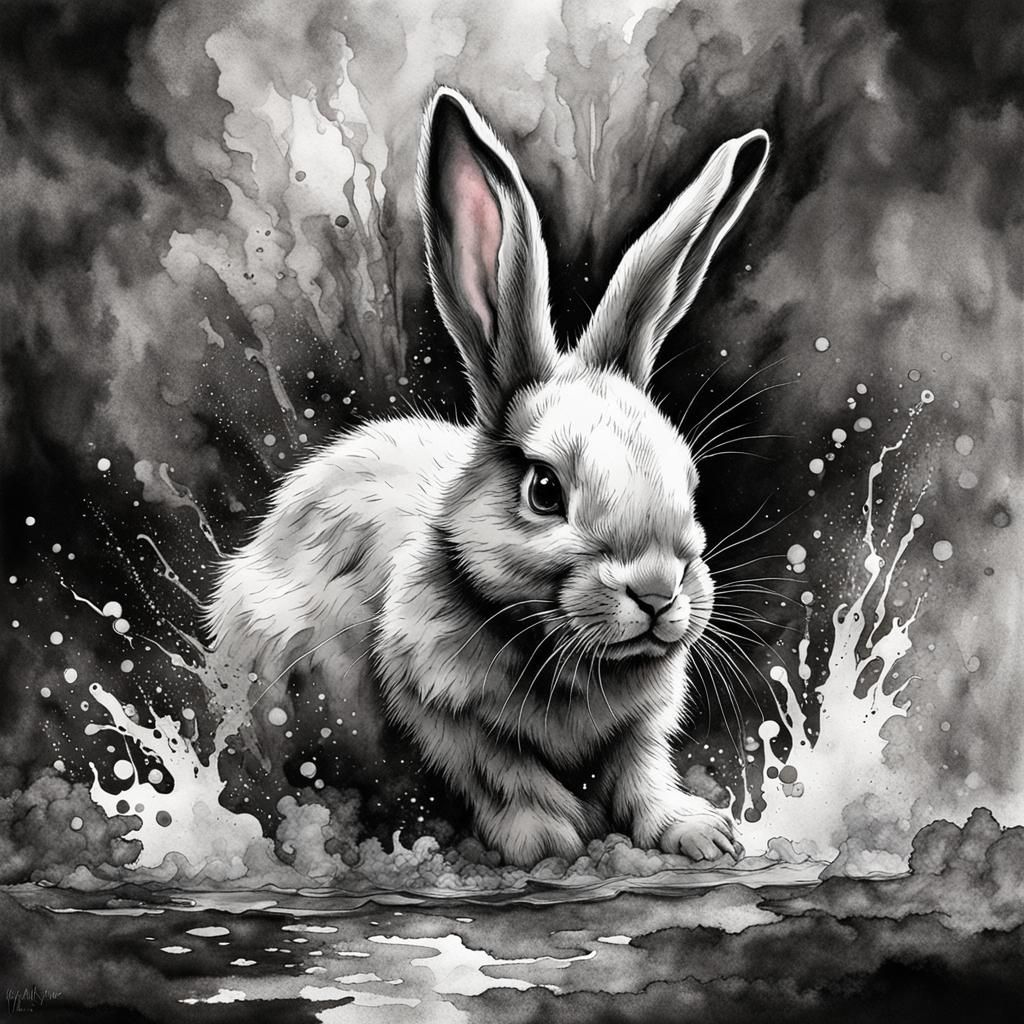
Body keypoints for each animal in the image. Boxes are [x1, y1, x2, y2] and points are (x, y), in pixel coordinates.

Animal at [207, 86, 769, 867]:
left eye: (689, 483)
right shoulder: (437, 702)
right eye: (545, 491)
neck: (558, 648)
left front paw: (701, 833)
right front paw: (552, 838)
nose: (659, 594)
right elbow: (503, 772)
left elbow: (643, 773)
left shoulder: (642, 728)